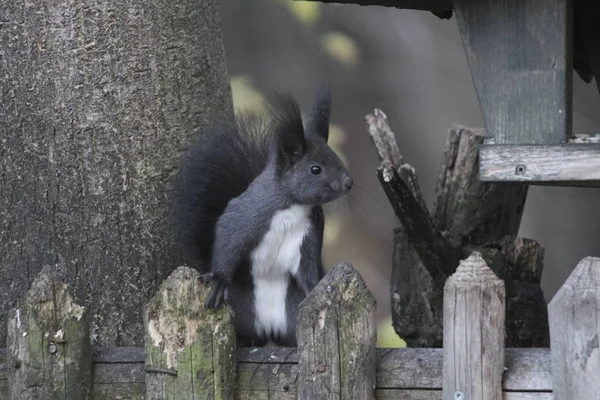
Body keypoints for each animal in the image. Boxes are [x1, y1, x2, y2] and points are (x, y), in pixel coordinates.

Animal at [171, 84, 352, 346]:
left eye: (337, 158)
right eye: (315, 169)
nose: (349, 183)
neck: (293, 206)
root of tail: (269, 329)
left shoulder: (310, 233)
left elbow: (307, 269)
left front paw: (316, 289)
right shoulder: (248, 214)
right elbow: (228, 238)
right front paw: (219, 279)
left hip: (291, 310)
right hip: (241, 308)